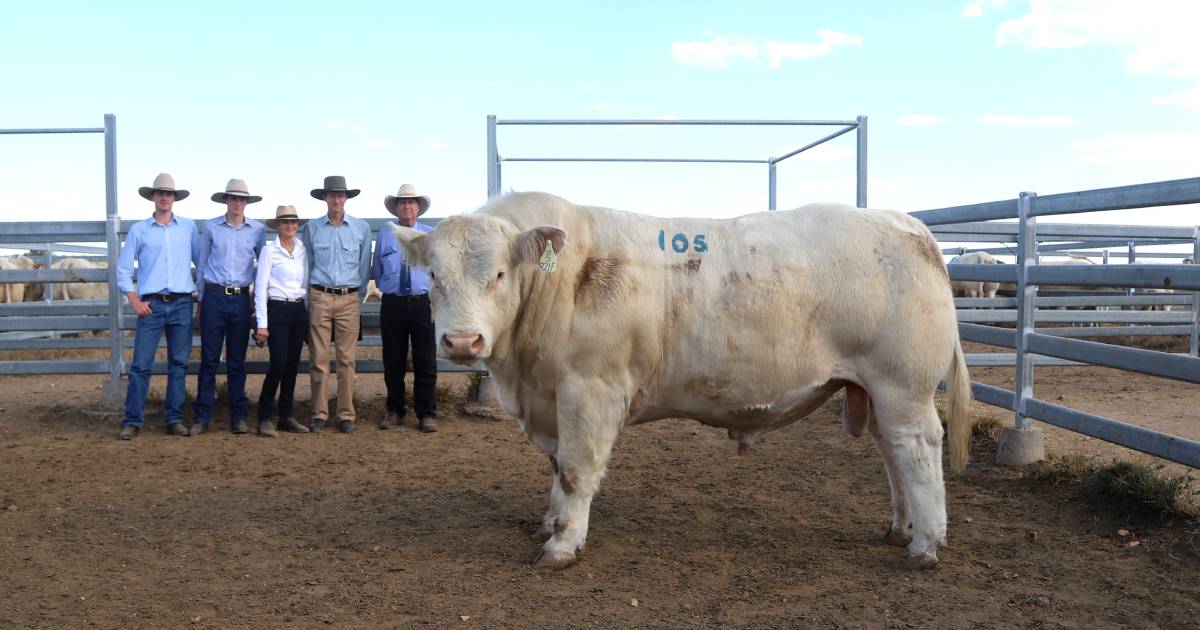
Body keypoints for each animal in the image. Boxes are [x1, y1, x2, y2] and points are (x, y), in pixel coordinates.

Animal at [393, 190, 974, 568]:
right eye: (433, 277)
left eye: (498, 274)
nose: (462, 343)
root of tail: (904, 222)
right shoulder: (551, 398)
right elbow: (558, 469)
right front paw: (551, 523)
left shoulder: (590, 391)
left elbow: (578, 470)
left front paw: (561, 546)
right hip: (871, 392)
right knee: (893, 454)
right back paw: (900, 528)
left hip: (903, 387)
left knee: (918, 449)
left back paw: (925, 545)